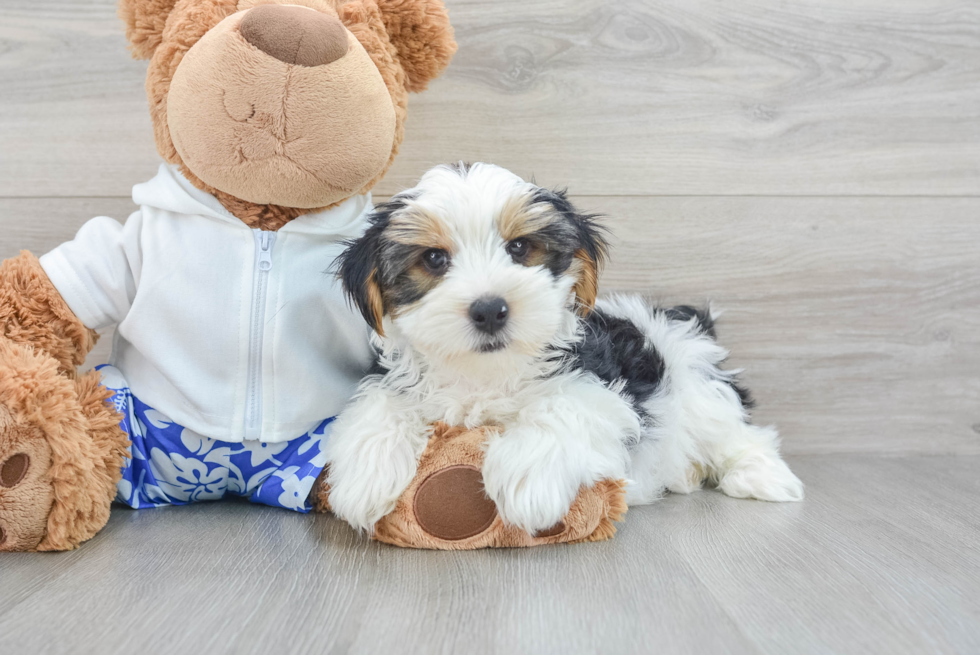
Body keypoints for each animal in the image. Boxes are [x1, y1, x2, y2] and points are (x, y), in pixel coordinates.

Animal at [326, 161, 800, 536]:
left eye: (519, 247)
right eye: (434, 259)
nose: (490, 310)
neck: (486, 372)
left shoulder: (601, 389)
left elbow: (562, 406)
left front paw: (527, 478)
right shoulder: (397, 378)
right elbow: (380, 402)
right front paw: (366, 476)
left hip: (696, 382)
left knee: (738, 432)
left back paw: (762, 476)